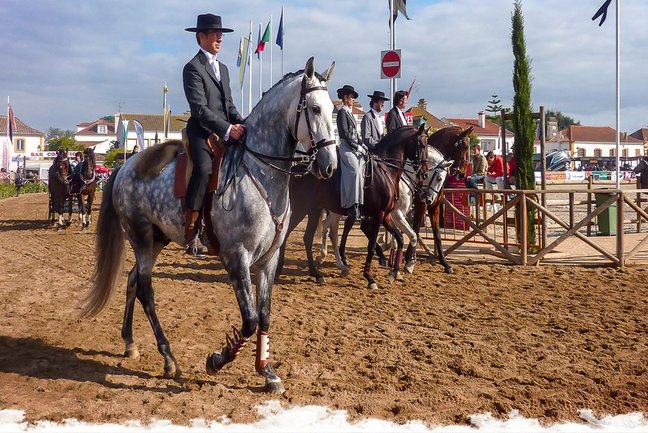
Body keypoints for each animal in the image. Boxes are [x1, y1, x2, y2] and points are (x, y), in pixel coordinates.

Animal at [81, 56, 340, 392]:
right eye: (316, 109)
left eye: (333, 110)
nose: (330, 165)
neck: (259, 172)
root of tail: (125, 166)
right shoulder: (237, 257)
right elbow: (249, 320)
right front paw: (217, 360)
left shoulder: (269, 260)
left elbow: (265, 316)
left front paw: (267, 372)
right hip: (141, 239)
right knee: (145, 289)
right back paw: (169, 359)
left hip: (157, 240)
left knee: (133, 280)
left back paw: (130, 343)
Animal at [278, 124, 430, 286]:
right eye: (422, 144)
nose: (425, 173)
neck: (385, 171)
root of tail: (296, 169)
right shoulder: (379, 214)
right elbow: (372, 245)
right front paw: (370, 277)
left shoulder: (386, 215)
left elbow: (401, 238)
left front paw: (395, 272)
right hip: (302, 209)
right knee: (297, 234)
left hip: (315, 210)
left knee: (312, 236)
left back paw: (317, 271)